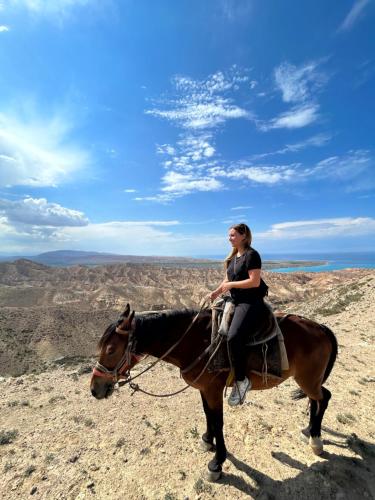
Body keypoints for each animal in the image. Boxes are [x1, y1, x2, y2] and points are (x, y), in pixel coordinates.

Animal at [90, 304, 338, 480]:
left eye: (111, 350)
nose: (95, 389)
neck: (196, 343)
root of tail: (320, 328)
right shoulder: (204, 389)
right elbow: (207, 414)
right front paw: (208, 441)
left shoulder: (214, 390)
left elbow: (218, 422)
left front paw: (217, 463)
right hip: (310, 380)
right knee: (319, 398)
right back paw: (309, 430)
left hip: (307, 379)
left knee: (324, 398)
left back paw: (316, 440)